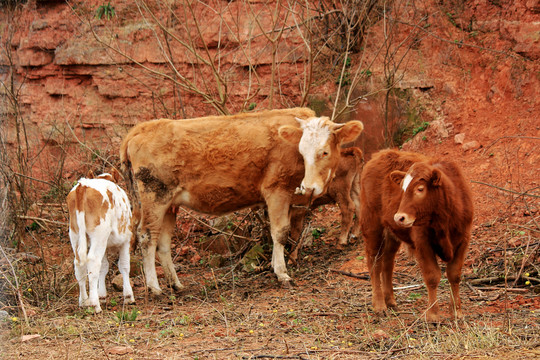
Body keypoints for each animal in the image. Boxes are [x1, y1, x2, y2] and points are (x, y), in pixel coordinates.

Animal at [67, 169, 135, 312]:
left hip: (75, 234)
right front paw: (128, 296)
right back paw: (94, 304)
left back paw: (84, 301)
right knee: (93, 261)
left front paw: (102, 295)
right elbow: (124, 266)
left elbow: (104, 267)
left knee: (79, 265)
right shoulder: (126, 240)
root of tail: (83, 185)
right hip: (99, 234)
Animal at [119, 108, 360, 294]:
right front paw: (282, 273)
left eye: (324, 152)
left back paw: (176, 284)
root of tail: (141, 128)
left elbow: (286, 232)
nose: (309, 187)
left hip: (169, 204)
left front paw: (278, 264)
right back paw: (154, 287)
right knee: (147, 236)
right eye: (301, 151)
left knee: (163, 242)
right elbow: (280, 232)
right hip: (154, 197)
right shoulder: (276, 190)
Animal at [362, 148, 472, 322]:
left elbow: (454, 275)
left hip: (391, 234)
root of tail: (381, 153)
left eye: (420, 189)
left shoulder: (463, 240)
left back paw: (390, 301)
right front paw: (433, 315)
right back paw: (379, 306)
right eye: (402, 189)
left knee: (387, 263)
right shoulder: (422, 243)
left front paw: (456, 313)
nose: (399, 217)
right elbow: (432, 276)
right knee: (374, 264)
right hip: (372, 226)